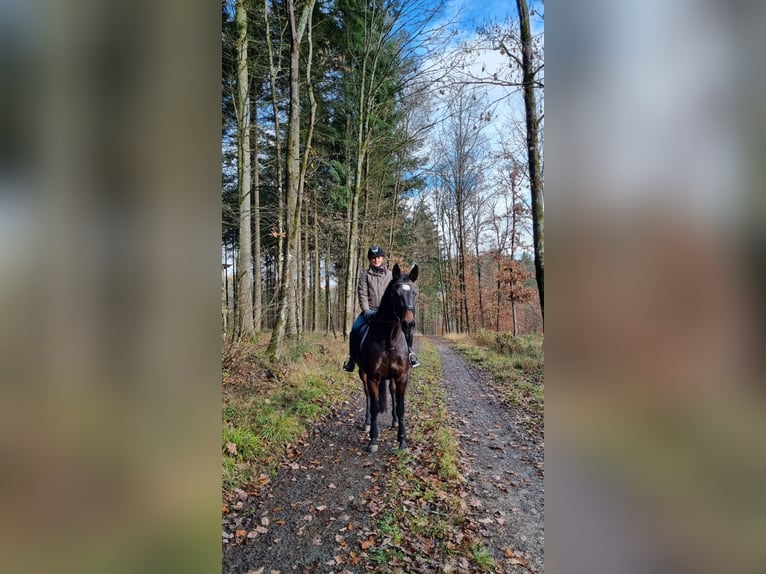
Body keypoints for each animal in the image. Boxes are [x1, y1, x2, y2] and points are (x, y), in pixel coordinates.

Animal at [356, 264, 420, 454]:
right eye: (395, 293)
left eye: (415, 292)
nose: (409, 324)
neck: (389, 338)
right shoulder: (372, 377)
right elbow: (375, 406)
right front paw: (373, 440)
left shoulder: (402, 376)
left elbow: (400, 407)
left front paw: (402, 441)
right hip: (362, 374)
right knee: (368, 396)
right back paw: (367, 423)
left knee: (391, 392)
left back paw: (394, 422)